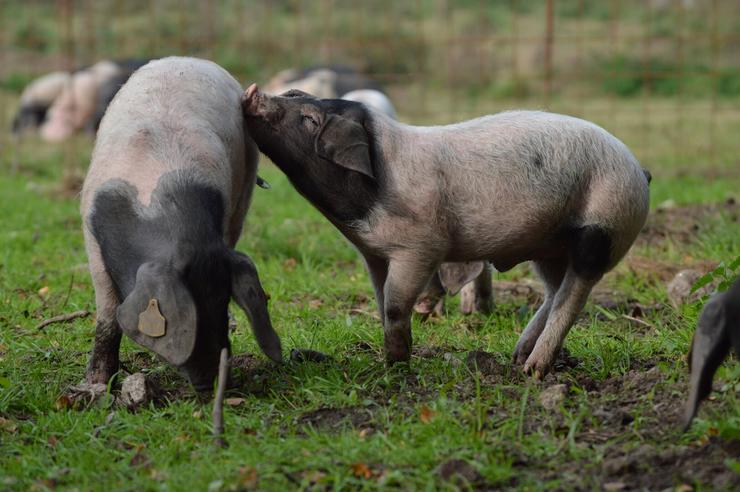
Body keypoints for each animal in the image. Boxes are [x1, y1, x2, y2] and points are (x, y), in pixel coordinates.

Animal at [81, 57, 282, 390]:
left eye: (223, 301)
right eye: (190, 315)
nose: (213, 381)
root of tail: (191, 59)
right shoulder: (92, 238)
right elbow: (107, 315)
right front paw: (96, 385)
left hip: (246, 183)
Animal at [241, 85, 648, 376]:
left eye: (310, 119)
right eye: (292, 97)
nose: (252, 91)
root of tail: (639, 169)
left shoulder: (421, 246)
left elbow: (395, 304)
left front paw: (397, 366)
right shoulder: (372, 252)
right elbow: (380, 300)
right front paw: (387, 362)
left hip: (601, 228)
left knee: (574, 293)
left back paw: (533, 371)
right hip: (549, 244)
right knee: (553, 290)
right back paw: (517, 358)